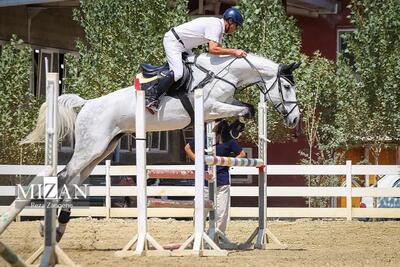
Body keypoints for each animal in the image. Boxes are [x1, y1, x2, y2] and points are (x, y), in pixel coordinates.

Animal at [21, 51, 300, 239]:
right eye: (287, 86)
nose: (295, 119)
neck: (225, 74)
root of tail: (88, 103)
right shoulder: (211, 106)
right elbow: (246, 109)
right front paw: (235, 125)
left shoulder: (219, 108)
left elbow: (245, 109)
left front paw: (232, 128)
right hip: (91, 147)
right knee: (63, 176)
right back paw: (47, 226)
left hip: (102, 149)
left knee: (74, 179)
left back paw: (59, 228)